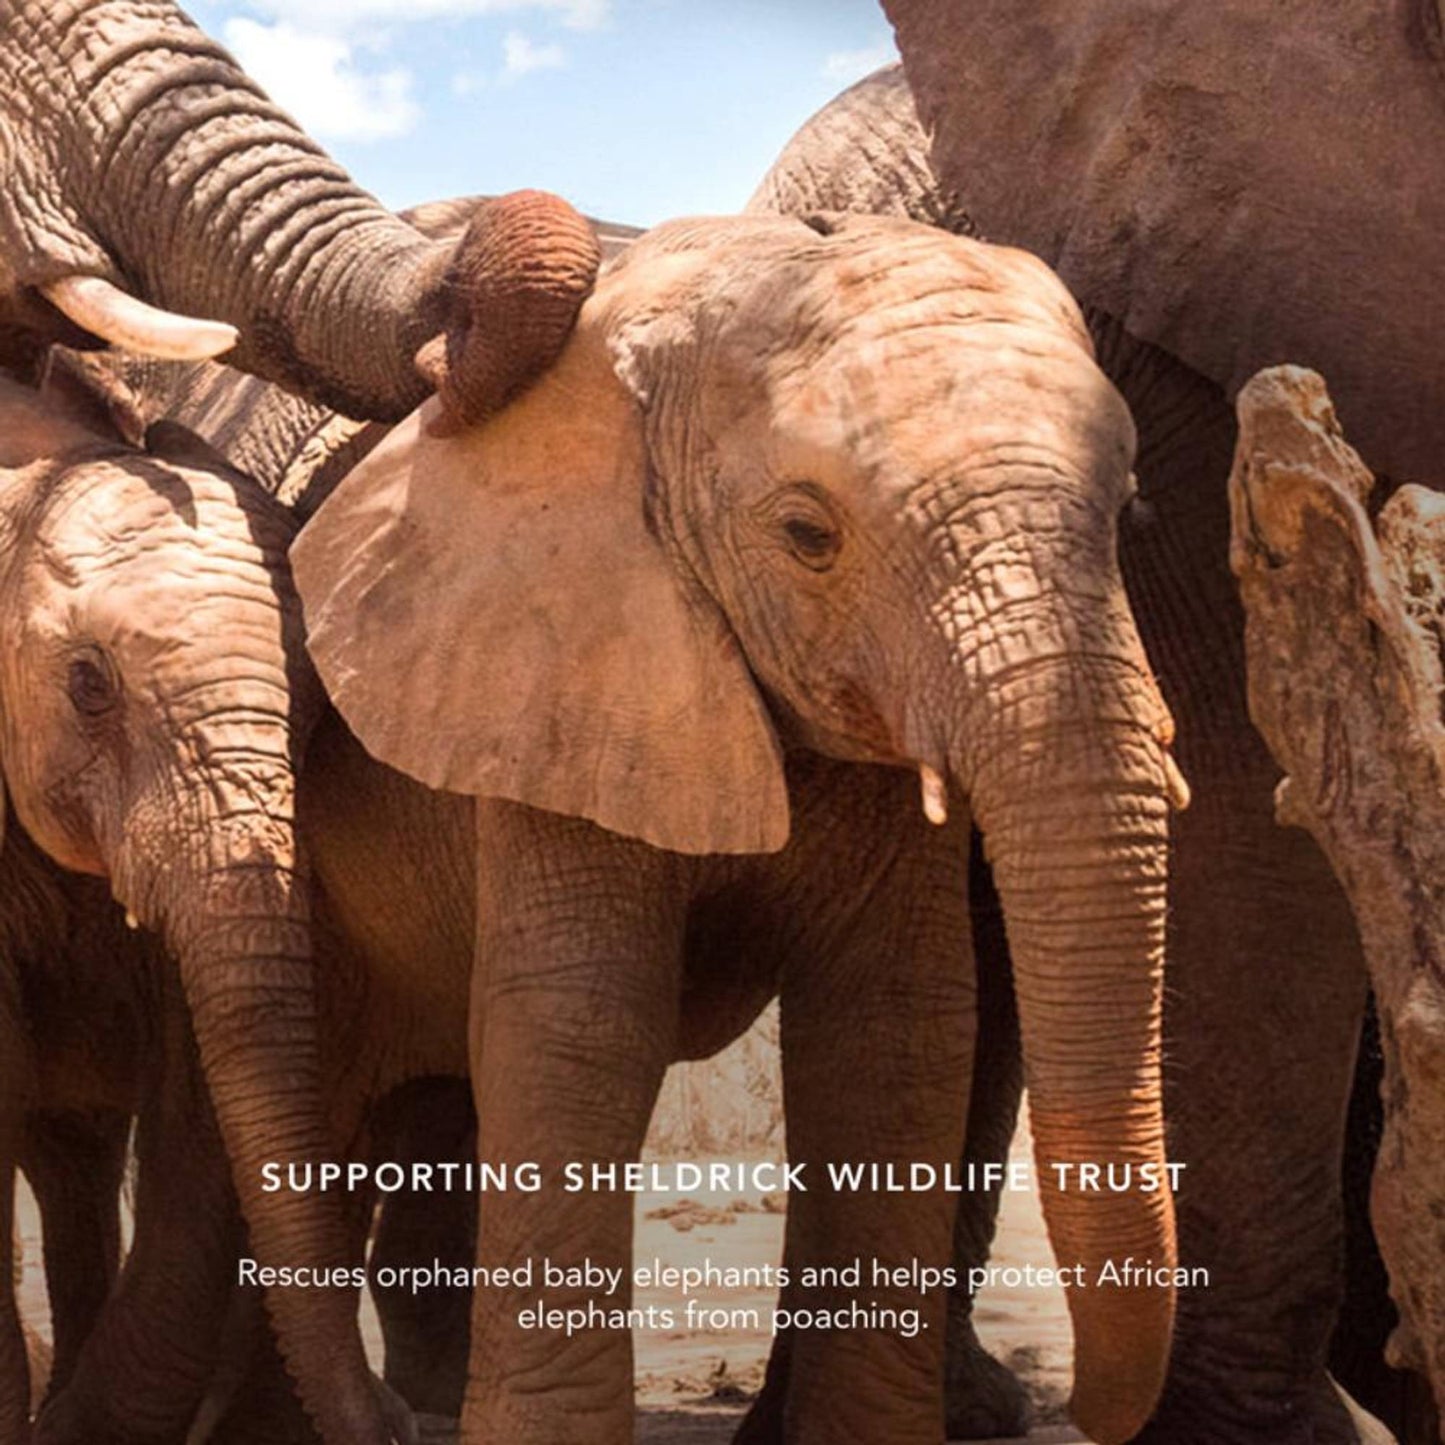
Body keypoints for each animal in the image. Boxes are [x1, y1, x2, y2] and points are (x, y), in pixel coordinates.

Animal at [292, 209, 1189, 1445]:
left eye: (1129, 511)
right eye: (807, 534)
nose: (1085, 1412)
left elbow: (894, 1027)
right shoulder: (552, 665)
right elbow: (581, 1026)